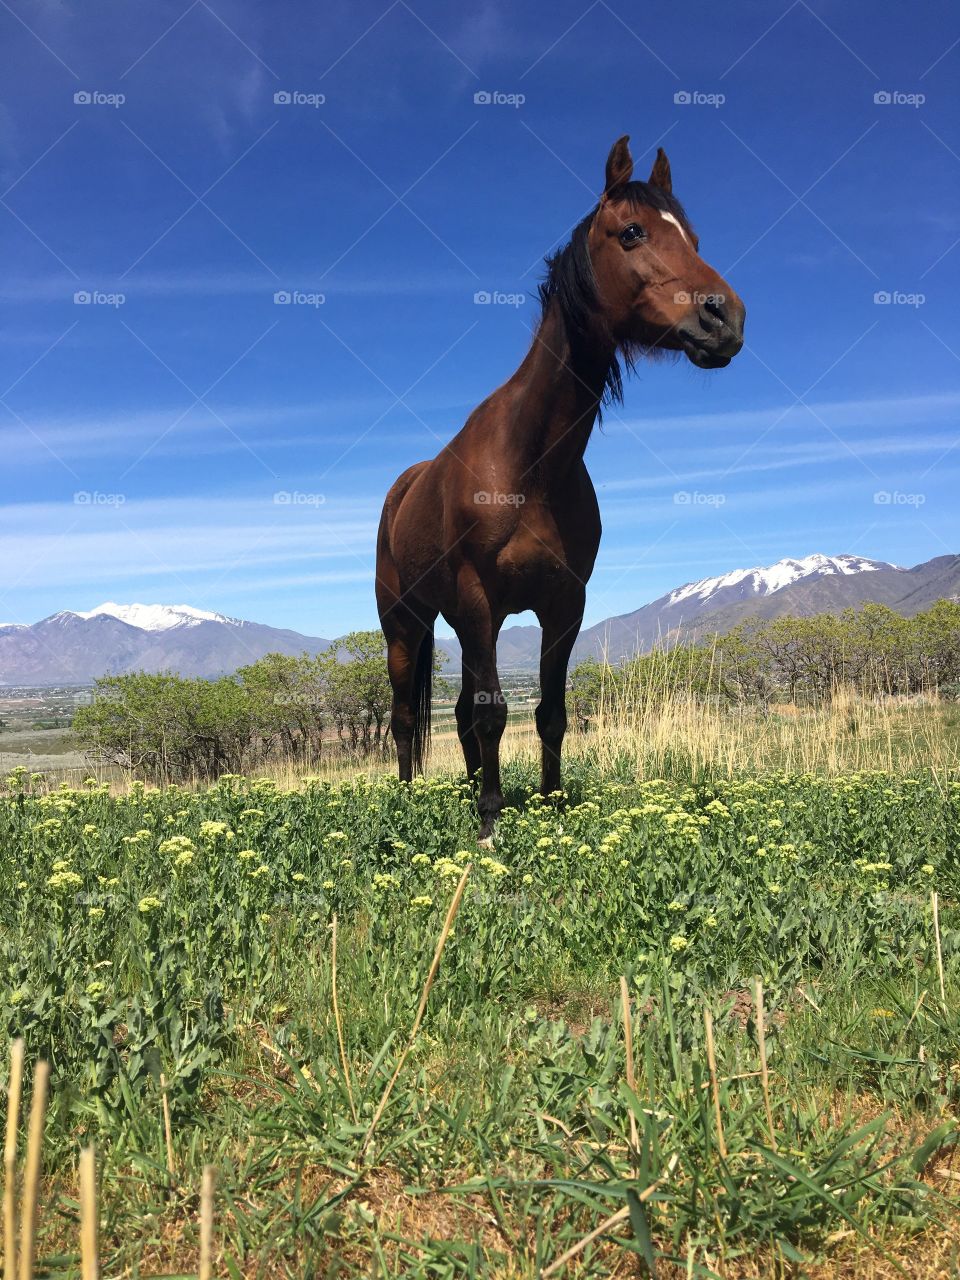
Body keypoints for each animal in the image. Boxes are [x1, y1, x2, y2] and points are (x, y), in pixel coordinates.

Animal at [376, 135, 745, 840]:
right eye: (632, 232)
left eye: (692, 237)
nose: (725, 318)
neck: (531, 464)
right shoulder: (478, 600)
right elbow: (495, 712)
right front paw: (490, 825)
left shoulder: (563, 606)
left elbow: (546, 712)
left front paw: (547, 808)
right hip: (405, 624)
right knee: (407, 718)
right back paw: (410, 801)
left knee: (456, 714)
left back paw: (467, 788)